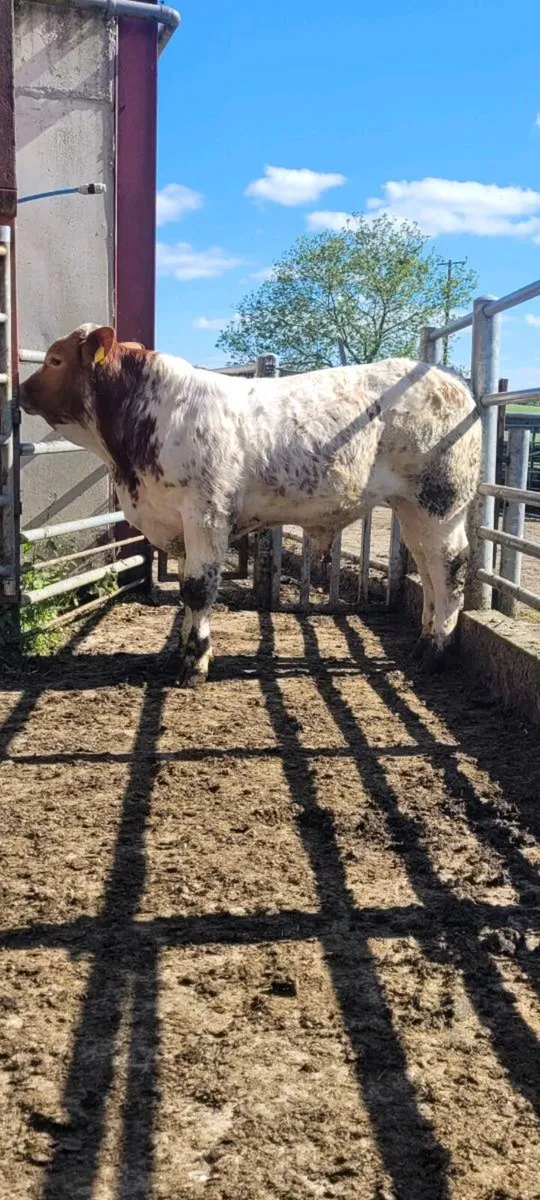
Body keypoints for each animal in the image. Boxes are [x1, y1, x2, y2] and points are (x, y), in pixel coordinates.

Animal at [19, 324, 481, 686]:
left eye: (55, 360)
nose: (20, 391)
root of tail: (449, 380)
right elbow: (186, 589)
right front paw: (181, 653)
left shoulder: (206, 513)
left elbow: (198, 587)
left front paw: (194, 664)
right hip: (411, 508)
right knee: (427, 568)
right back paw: (422, 641)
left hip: (441, 504)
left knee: (450, 567)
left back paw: (436, 651)